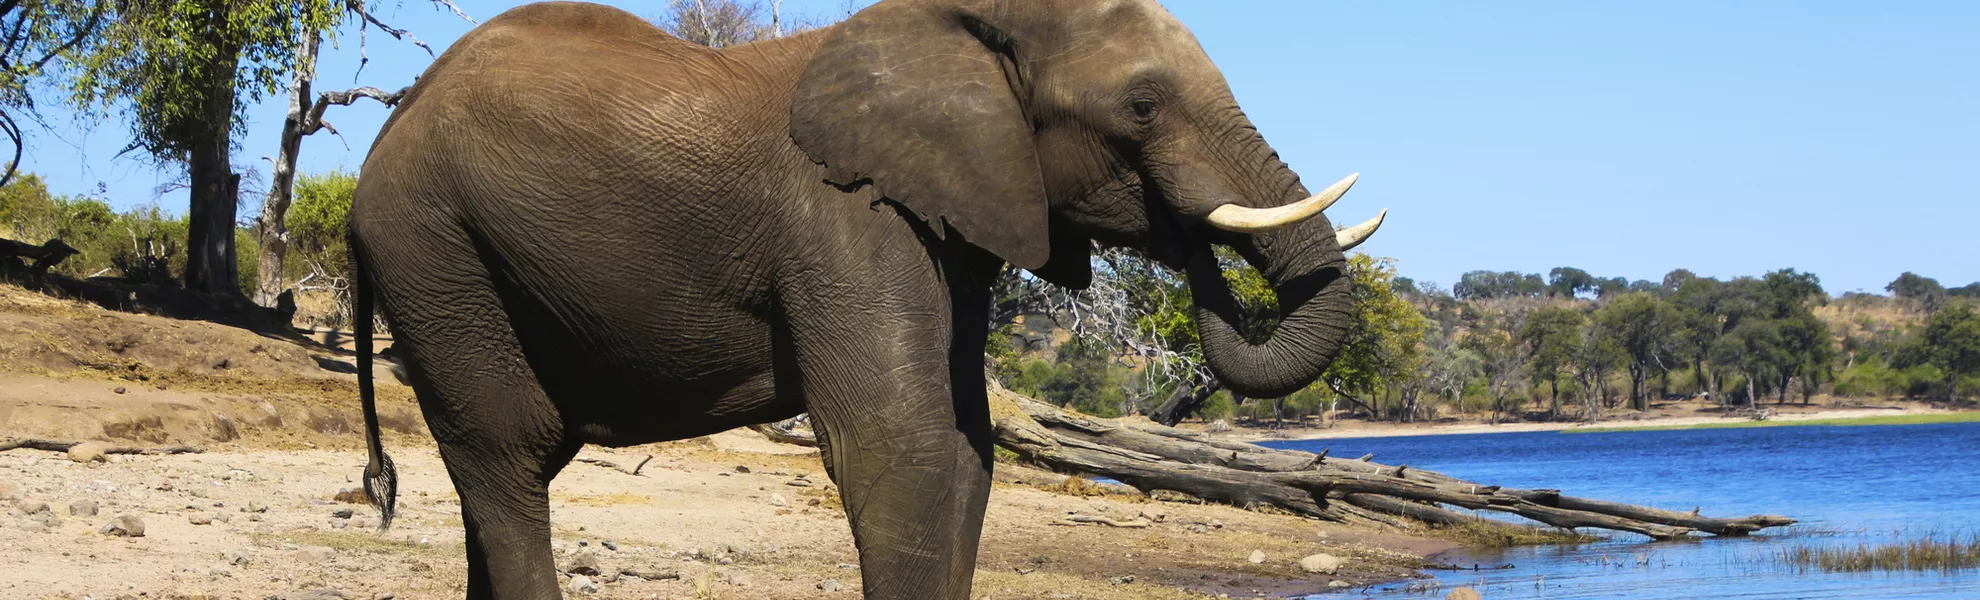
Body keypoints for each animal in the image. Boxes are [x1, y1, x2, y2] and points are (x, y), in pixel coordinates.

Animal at [348, 2, 1386, 598]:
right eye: (1141, 107)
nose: (1188, 240)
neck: (972, 22)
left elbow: (964, 449)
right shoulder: (847, 219)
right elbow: (905, 445)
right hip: (435, 250)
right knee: (507, 452)